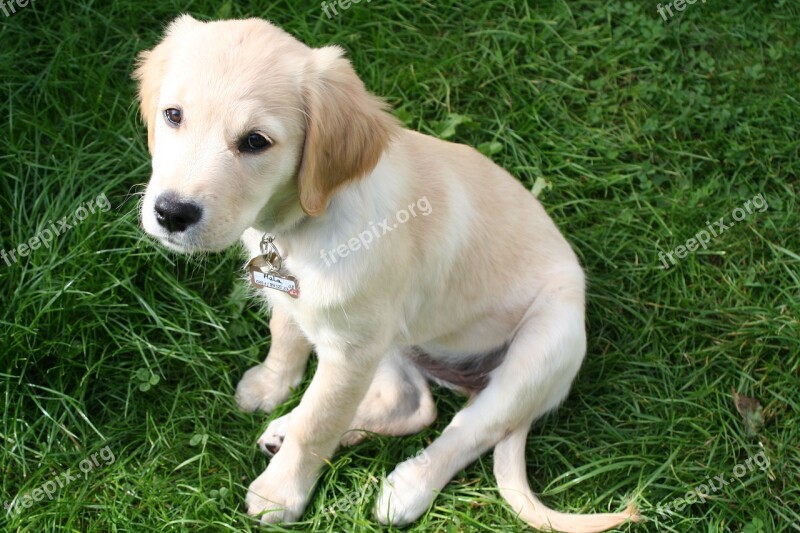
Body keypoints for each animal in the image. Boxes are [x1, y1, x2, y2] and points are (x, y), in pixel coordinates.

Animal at [134, 14, 640, 528]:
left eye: (256, 142)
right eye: (173, 115)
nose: (171, 213)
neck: (305, 222)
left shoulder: (350, 352)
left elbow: (318, 423)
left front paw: (281, 493)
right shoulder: (307, 308)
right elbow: (286, 338)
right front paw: (271, 386)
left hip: (543, 348)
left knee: (468, 429)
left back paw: (406, 488)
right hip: (395, 340)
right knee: (412, 406)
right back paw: (293, 430)